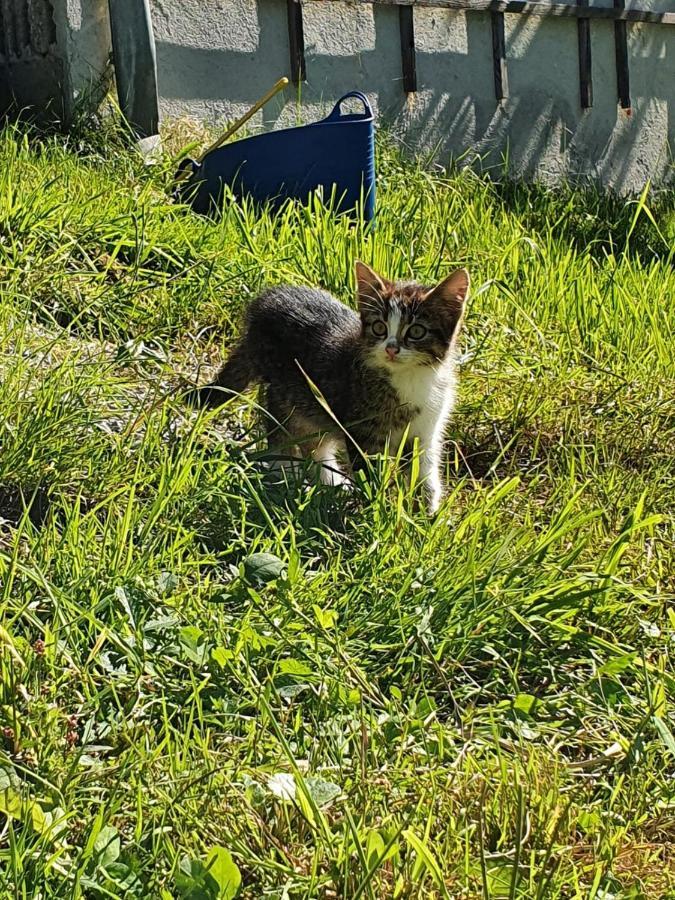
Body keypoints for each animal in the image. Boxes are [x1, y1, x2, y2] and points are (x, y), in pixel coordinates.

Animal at [186, 260, 470, 512]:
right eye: (379, 327)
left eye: (416, 332)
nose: (391, 348)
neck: (411, 377)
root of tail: (263, 303)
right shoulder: (362, 430)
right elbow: (369, 473)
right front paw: (376, 511)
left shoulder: (427, 429)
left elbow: (424, 470)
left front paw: (427, 515)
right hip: (284, 392)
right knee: (282, 435)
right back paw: (286, 475)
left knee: (315, 444)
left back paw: (330, 483)